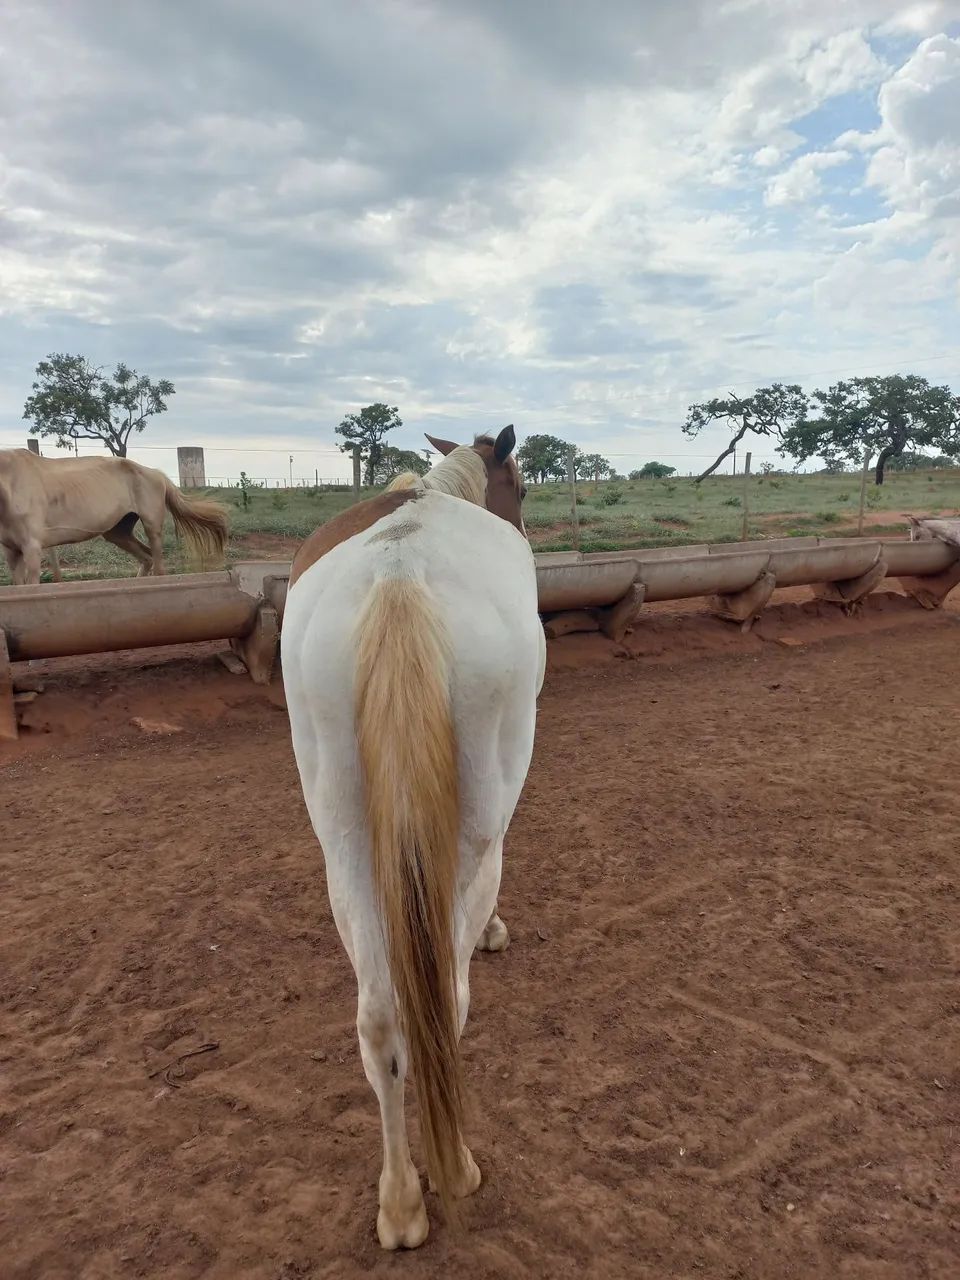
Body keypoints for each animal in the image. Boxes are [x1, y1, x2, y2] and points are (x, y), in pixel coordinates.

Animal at [0, 449, 227, 584]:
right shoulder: (12, 551)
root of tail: (157, 474)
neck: (11, 483)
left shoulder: (32, 548)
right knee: (146, 558)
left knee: (158, 567)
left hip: (151, 527)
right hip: (117, 533)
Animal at [281, 425, 544, 1249]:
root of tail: (400, 574)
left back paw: (399, 1202)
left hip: (343, 838)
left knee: (380, 1018)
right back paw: (455, 1169)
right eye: (522, 486)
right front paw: (494, 930)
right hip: (471, 825)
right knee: (446, 1002)